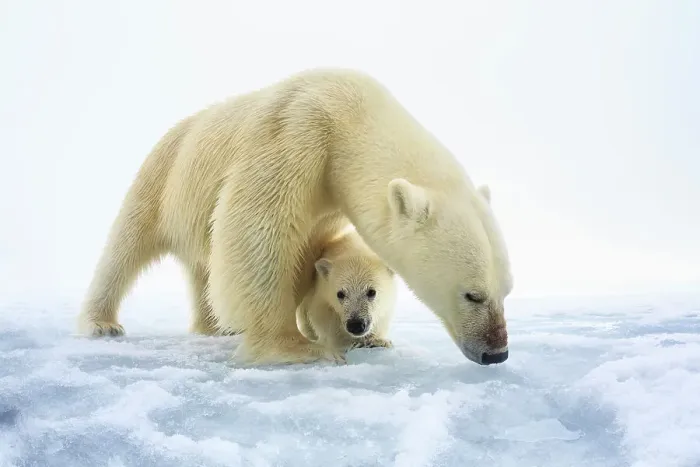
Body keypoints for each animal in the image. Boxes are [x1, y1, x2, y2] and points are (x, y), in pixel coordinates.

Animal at [296, 226, 397, 357]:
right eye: (340, 294)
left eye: (371, 292)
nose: (356, 325)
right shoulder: (322, 292)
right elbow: (324, 318)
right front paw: (350, 343)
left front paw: (378, 341)